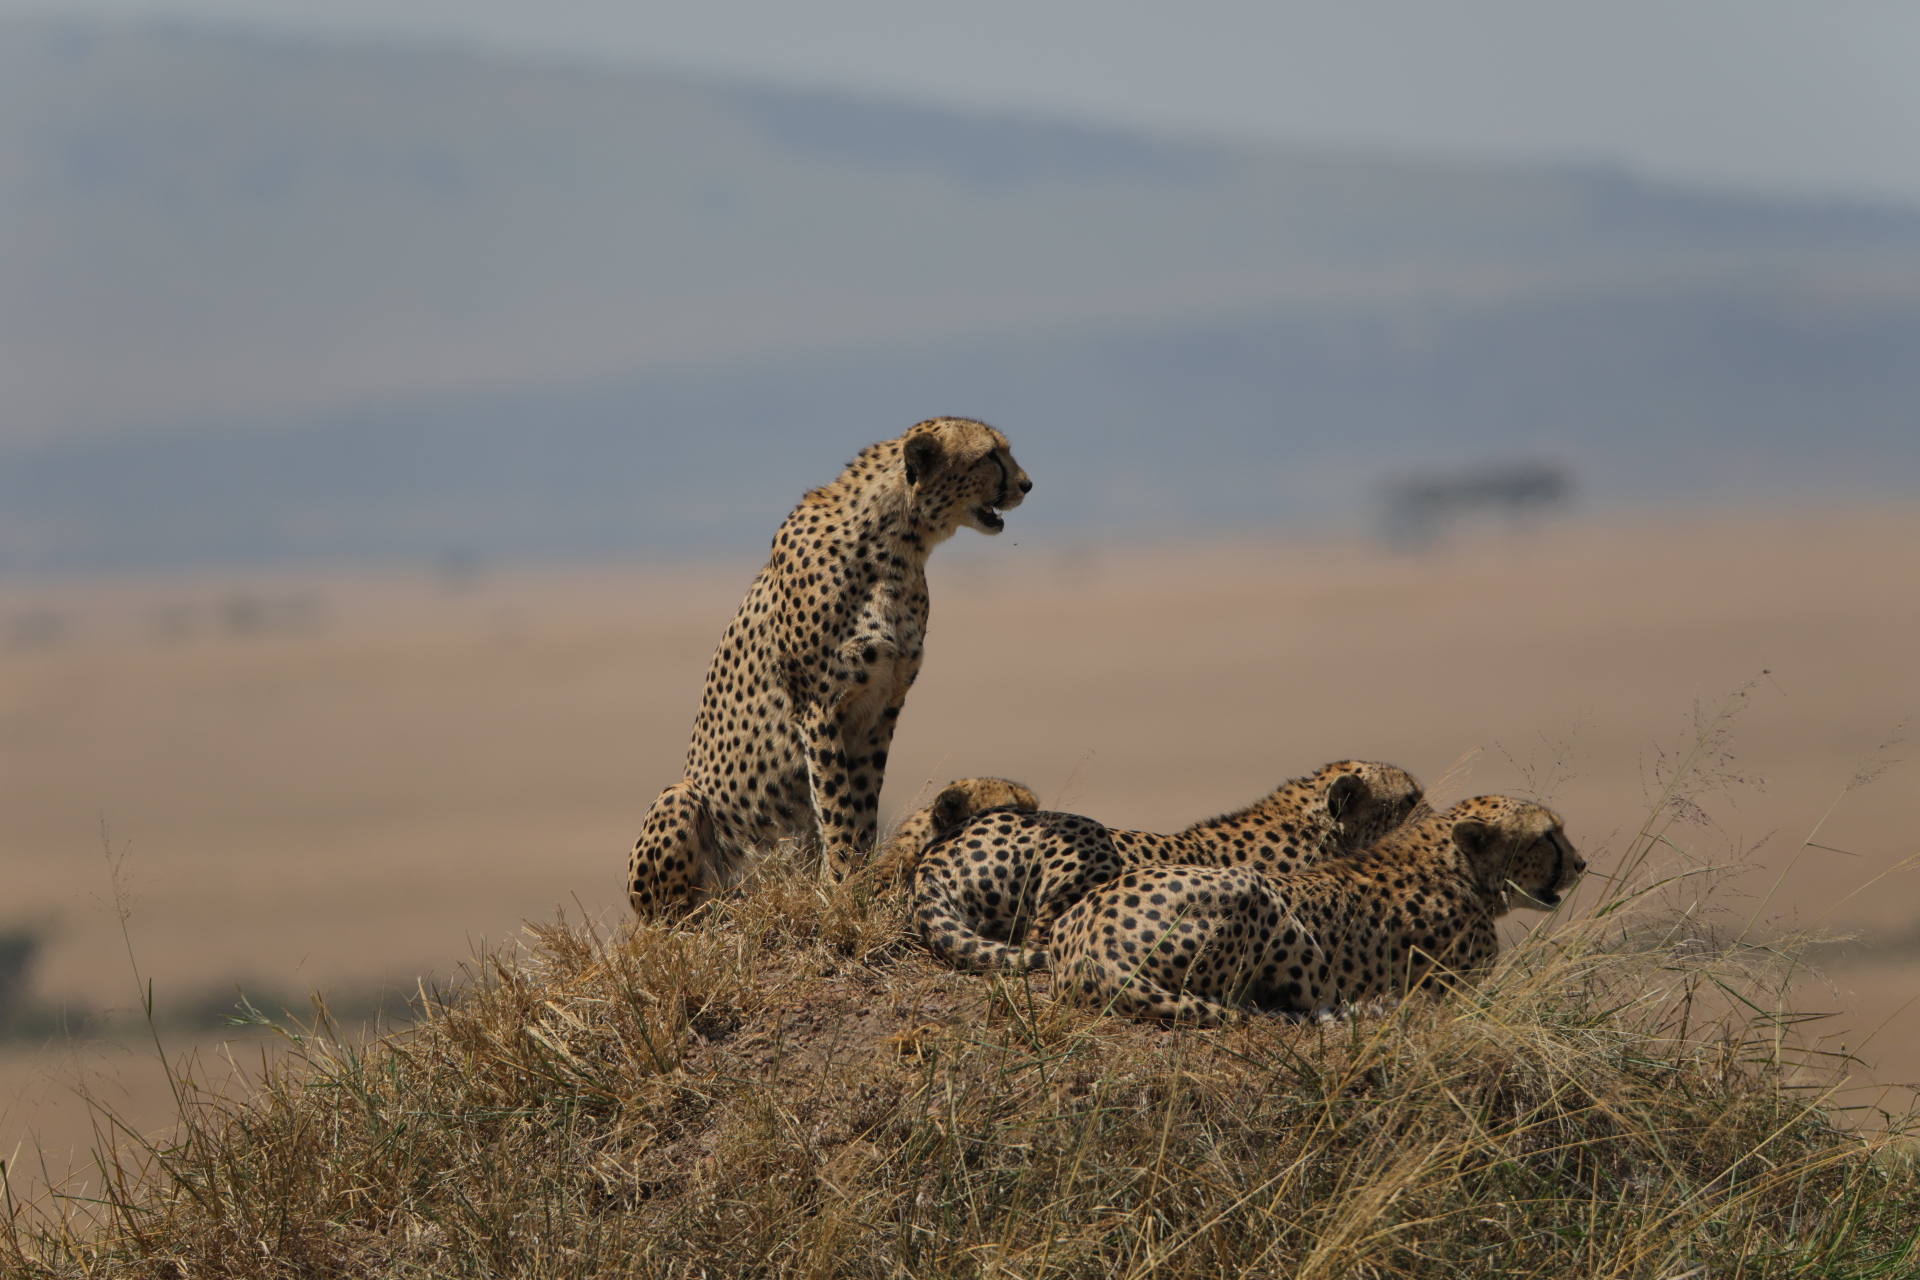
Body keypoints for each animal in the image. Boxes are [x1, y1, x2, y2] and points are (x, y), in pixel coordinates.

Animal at [1059, 794, 1582, 1028]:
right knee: (1310, 1000)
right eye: (1547, 836)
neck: (1454, 866)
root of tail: (1093, 941)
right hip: (1259, 895)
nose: (1580, 864)